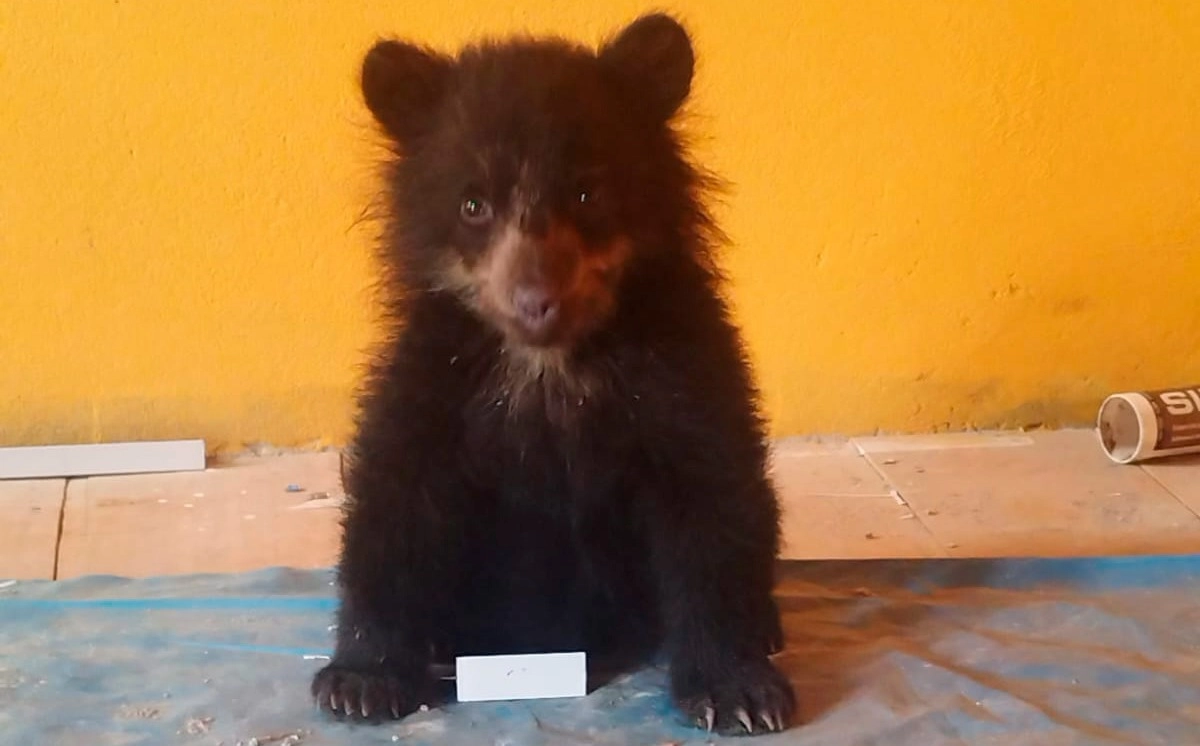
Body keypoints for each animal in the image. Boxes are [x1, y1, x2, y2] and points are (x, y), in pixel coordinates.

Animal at [311, 12, 796, 736]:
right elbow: (396, 497)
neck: (551, 363)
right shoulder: (432, 375)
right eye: (473, 205)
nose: (536, 301)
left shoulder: (685, 370)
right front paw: (360, 682)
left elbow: (710, 500)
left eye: (588, 192)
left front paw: (738, 690)